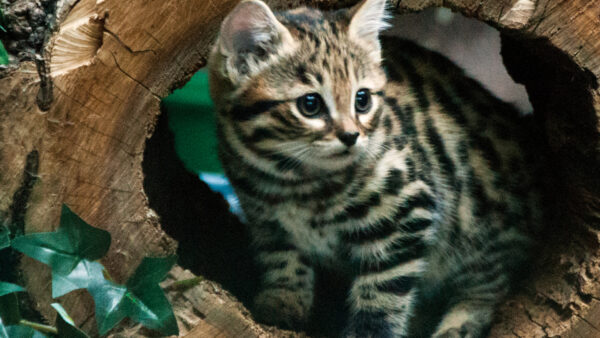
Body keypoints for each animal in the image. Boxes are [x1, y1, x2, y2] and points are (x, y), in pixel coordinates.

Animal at [206, 0, 540, 336]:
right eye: (310, 104)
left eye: (362, 99)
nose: (351, 136)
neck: (293, 180)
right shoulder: (266, 221)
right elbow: (282, 259)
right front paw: (282, 302)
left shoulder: (408, 212)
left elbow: (383, 289)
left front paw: (370, 329)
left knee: (490, 283)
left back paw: (459, 323)